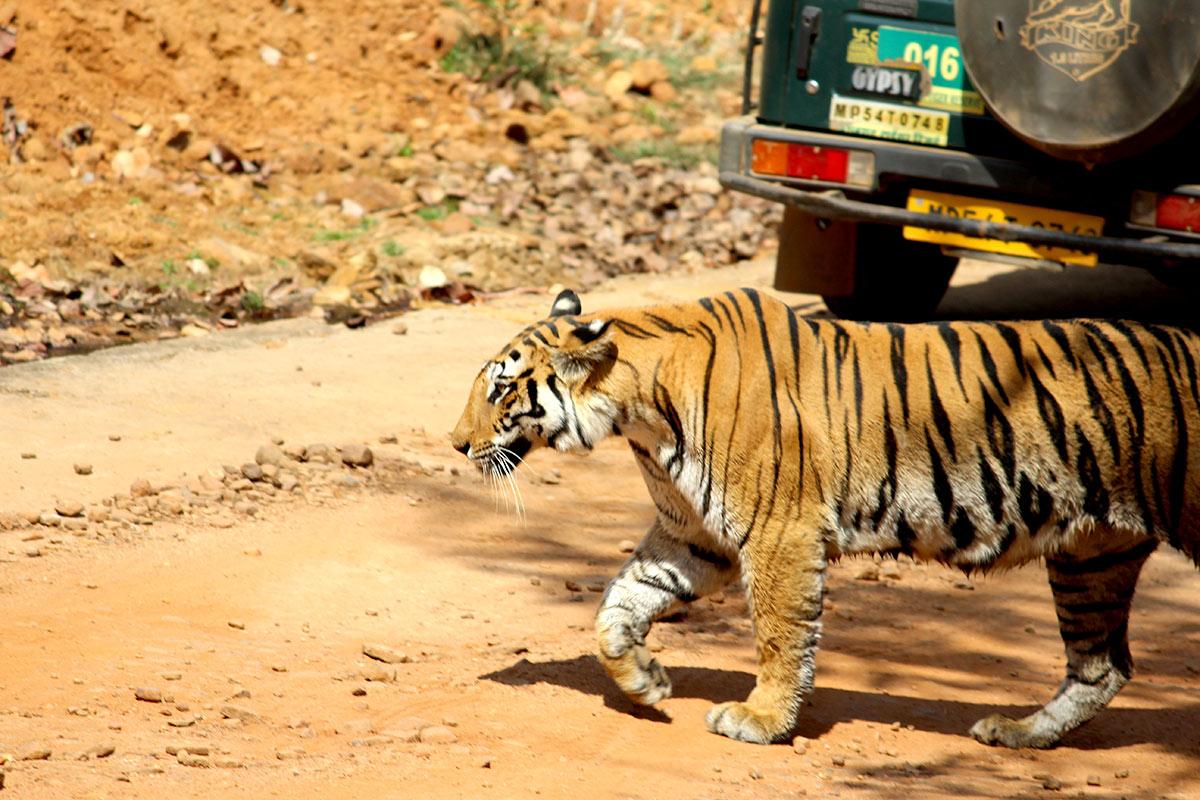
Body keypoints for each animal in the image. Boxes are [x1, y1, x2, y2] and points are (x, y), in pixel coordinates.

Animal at [450, 286, 1200, 748]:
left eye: (500, 391)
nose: (455, 444)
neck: (637, 414)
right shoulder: (693, 537)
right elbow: (616, 608)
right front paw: (647, 683)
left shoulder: (777, 532)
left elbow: (781, 635)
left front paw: (761, 720)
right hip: (1093, 555)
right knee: (1102, 666)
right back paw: (1018, 734)